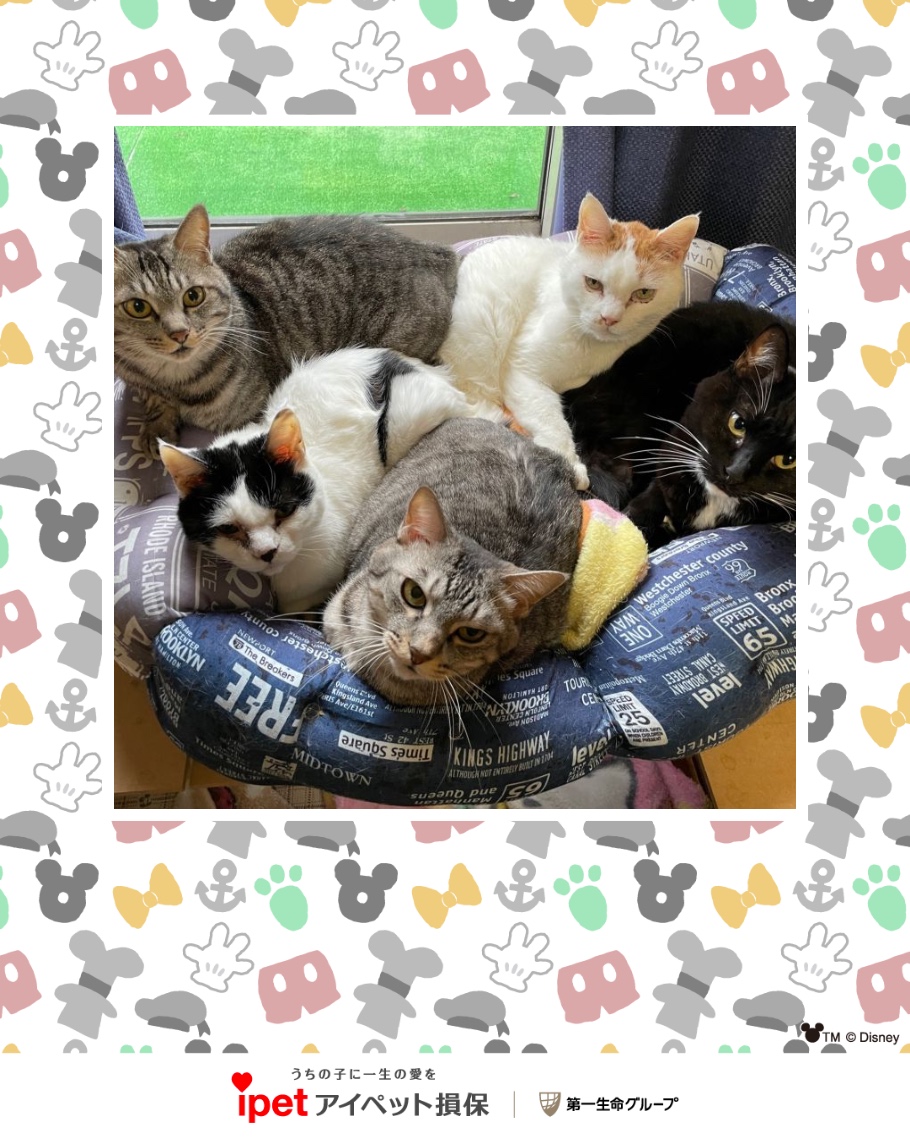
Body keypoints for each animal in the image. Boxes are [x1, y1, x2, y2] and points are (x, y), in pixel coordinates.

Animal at [114, 205, 459, 458]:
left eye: (193, 296)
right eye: (138, 307)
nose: (179, 333)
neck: (175, 382)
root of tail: (436, 251)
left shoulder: (255, 413)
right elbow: (155, 402)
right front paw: (156, 426)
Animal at [438, 193, 699, 491]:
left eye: (644, 294)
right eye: (593, 283)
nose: (609, 318)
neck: (590, 346)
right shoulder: (522, 370)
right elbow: (549, 416)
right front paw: (570, 463)